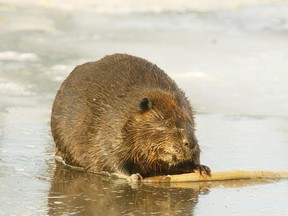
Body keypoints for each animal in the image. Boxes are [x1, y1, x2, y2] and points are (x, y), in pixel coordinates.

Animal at [50, 53, 210, 179]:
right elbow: (109, 157)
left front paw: (201, 167)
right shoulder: (109, 128)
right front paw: (133, 176)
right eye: (168, 123)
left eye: (190, 122)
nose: (191, 143)